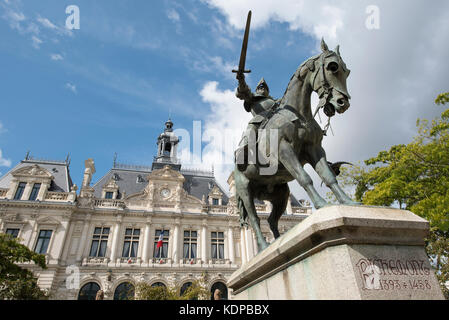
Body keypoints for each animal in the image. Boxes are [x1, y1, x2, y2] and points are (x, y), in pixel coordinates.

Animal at [234, 38, 360, 251]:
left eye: (347, 71)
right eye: (332, 67)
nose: (342, 103)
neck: (298, 115)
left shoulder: (315, 149)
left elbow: (328, 176)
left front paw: (348, 202)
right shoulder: (284, 150)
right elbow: (305, 178)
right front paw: (322, 204)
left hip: (280, 194)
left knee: (271, 220)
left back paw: (278, 242)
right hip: (245, 190)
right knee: (254, 218)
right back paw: (264, 246)